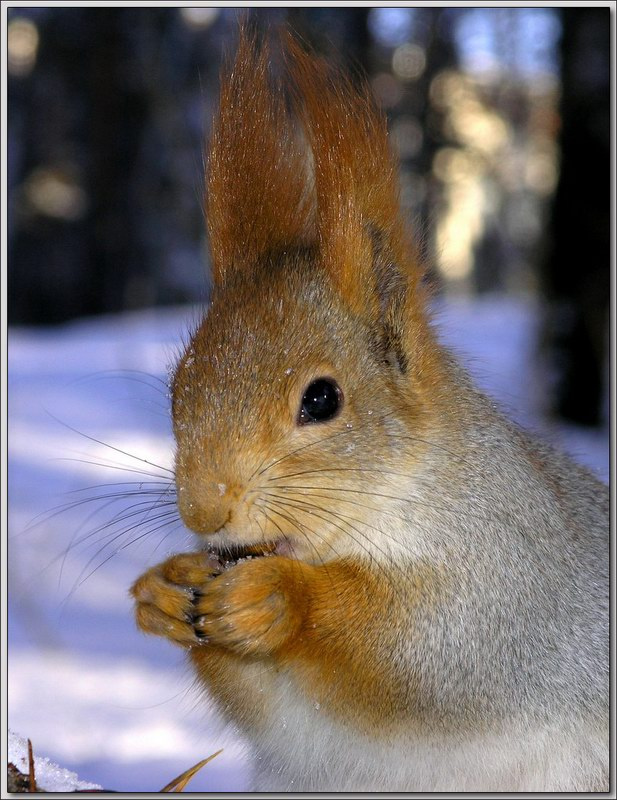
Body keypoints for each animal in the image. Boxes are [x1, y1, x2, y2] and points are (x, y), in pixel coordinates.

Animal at [131, 28, 609, 792]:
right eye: (177, 389)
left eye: (321, 399)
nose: (203, 511)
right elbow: (262, 700)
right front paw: (162, 590)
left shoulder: (516, 571)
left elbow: (434, 645)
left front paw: (279, 599)